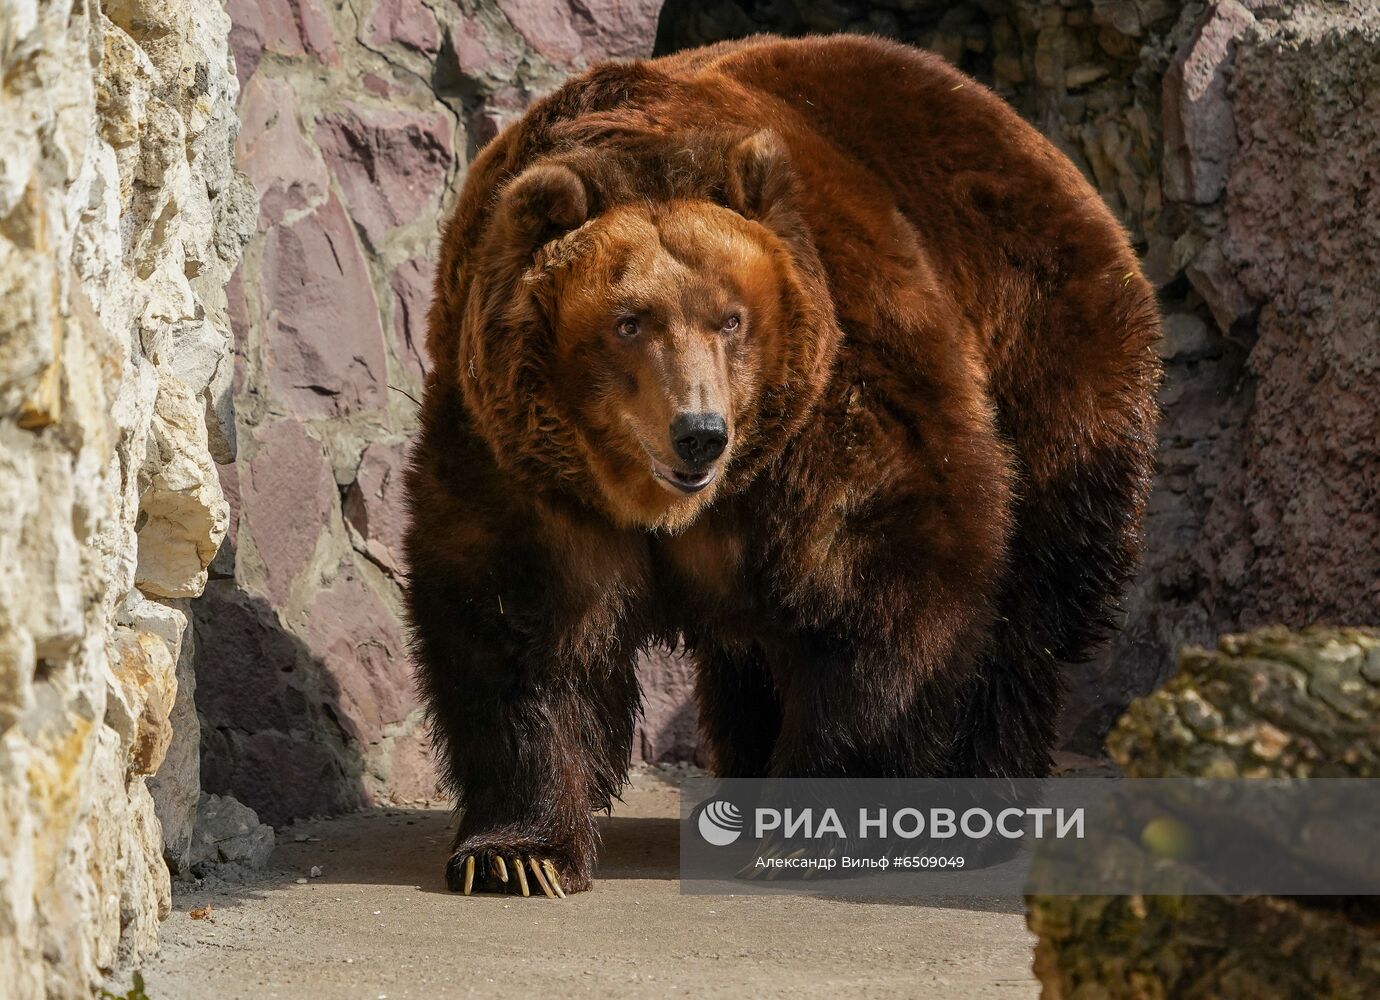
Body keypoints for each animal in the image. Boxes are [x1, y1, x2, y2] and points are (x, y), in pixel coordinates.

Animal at [402, 37, 1164, 899]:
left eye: (730, 319)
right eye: (629, 322)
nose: (699, 433)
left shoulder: (834, 401)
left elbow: (874, 581)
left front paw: (811, 829)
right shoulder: (523, 462)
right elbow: (523, 630)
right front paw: (516, 853)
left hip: (1045, 361)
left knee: (1024, 607)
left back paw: (978, 802)